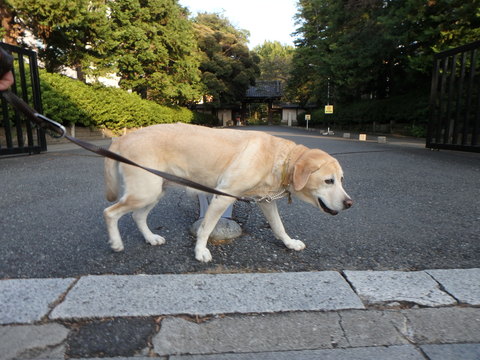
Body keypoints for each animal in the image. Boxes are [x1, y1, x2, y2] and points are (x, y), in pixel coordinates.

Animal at [104, 124, 352, 262]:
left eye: (341, 180)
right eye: (328, 181)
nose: (349, 203)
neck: (279, 158)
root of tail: (122, 138)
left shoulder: (266, 201)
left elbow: (279, 227)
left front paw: (289, 243)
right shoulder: (223, 196)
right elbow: (206, 228)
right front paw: (200, 252)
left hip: (155, 191)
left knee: (137, 216)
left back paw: (151, 238)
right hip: (145, 191)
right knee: (110, 212)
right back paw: (116, 243)